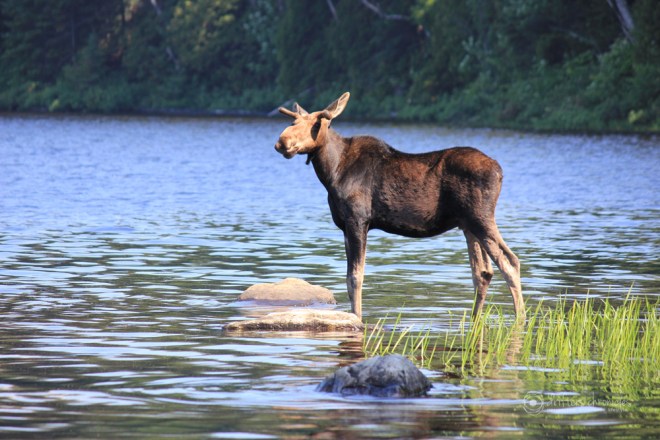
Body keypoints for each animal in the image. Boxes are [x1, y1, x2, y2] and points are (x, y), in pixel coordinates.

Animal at [274, 92, 525, 321]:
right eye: (293, 122)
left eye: (316, 123)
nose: (282, 142)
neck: (331, 172)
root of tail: (500, 172)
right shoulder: (345, 226)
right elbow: (347, 278)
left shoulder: (358, 220)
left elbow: (356, 277)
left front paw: (358, 317)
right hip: (467, 225)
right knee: (483, 272)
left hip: (480, 218)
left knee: (510, 262)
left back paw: (520, 319)